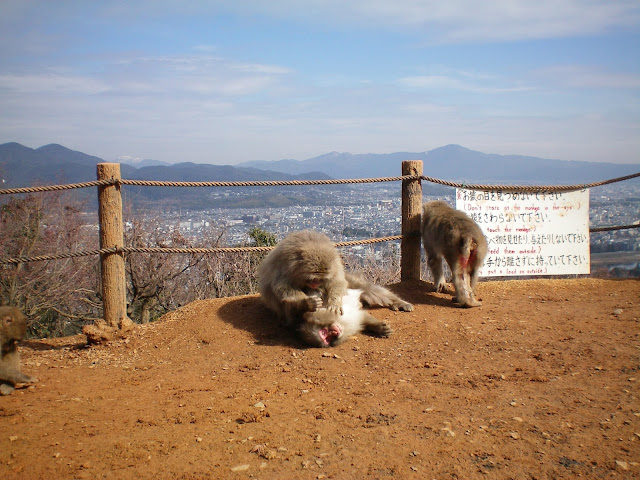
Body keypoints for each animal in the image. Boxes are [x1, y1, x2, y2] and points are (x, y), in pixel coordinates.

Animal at [258, 230, 416, 344]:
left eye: (318, 279)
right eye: (325, 336)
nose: (334, 334)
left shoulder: (332, 265)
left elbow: (336, 281)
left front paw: (333, 303)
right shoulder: (286, 268)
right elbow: (282, 288)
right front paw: (307, 303)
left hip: (351, 282)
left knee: (367, 289)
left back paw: (398, 302)